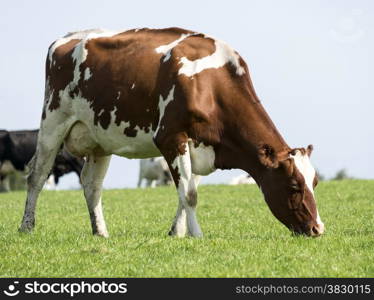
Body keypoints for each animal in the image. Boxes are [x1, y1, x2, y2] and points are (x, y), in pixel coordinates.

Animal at [19, 27, 324, 238]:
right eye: (293, 186)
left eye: (315, 182)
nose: (318, 229)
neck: (210, 85)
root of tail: (68, 38)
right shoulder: (171, 138)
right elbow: (189, 194)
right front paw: (197, 235)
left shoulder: (202, 148)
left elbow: (186, 190)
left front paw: (177, 232)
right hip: (52, 123)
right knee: (37, 175)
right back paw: (27, 227)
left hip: (99, 139)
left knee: (92, 184)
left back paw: (101, 232)